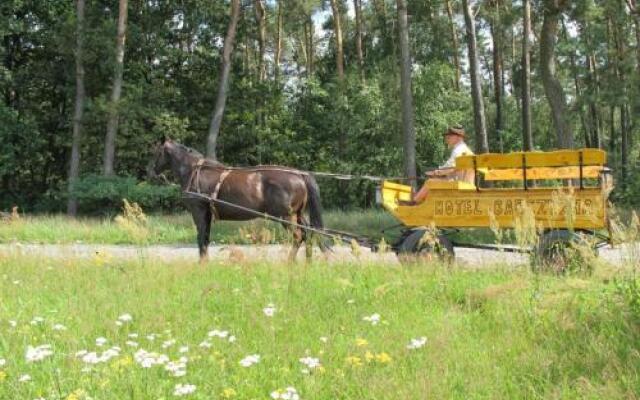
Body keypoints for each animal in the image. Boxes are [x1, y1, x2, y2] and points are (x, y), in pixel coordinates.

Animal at [147, 138, 328, 262]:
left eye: (156, 152)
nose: (150, 171)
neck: (195, 171)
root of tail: (300, 175)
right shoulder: (207, 214)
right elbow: (205, 238)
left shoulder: (198, 211)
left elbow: (201, 238)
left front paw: (202, 264)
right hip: (298, 214)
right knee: (308, 233)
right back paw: (308, 263)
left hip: (286, 216)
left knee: (298, 236)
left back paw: (289, 263)